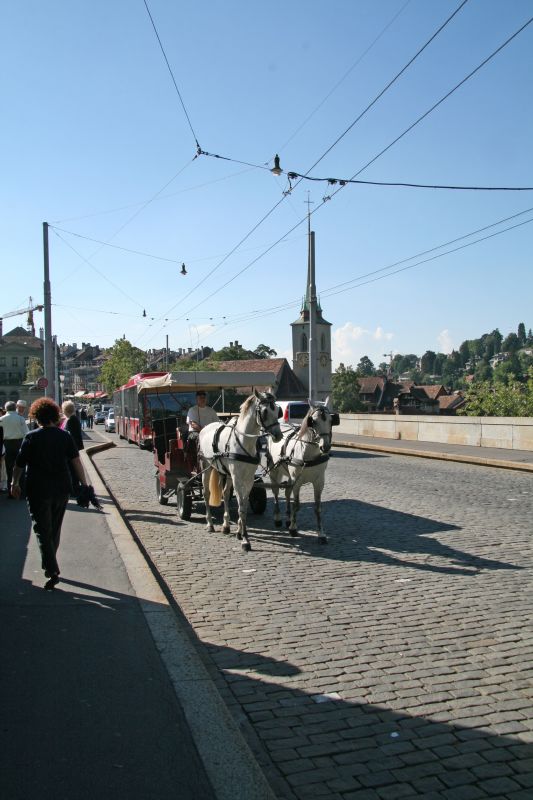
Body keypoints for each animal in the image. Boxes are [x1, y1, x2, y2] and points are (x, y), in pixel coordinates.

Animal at [198, 390, 282, 552]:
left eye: (278, 411)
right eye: (265, 411)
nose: (278, 435)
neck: (244, 441)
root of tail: (205, 427)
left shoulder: (248, 478)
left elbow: (243, 503)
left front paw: (239, 531)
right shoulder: (237, 478)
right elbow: (241, 508)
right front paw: (245, 539)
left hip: (225, 472)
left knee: (224, 493)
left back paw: (225, 525)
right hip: (206, 466)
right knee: (206, 493)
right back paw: (210, 524)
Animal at [268, 400, 338, 544]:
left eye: (330, 420)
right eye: (313, 421)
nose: (325, 447)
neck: (309, 454)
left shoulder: (319, 482)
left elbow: (317, 508)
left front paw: (321, 534)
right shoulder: (297, 481)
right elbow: (297, 505)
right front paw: (293, 529)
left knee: (287, 493)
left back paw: (288, 519)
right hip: (274, 471)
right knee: (276, 492)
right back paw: (278, 518)